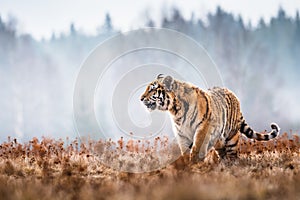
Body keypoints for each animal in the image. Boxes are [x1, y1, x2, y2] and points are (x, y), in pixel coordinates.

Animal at [139, 74, 280, 162]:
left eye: (152, 90)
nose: (141, 98)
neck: (176, 110)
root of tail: (234, 95)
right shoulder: (181, 134)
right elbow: (184, 152)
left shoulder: (202, 127)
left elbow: (196, 148)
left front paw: (194, 164)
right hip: (219, 142)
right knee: (223, 155)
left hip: (232, 138)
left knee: (234, 157)